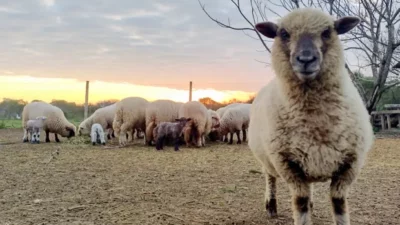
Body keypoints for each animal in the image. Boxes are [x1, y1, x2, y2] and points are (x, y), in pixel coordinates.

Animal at [248, 7, 376, 224]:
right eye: (283, 33)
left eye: (327, 31)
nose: (306, 59)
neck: (316, 124)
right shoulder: (288, 164)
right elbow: (300, 203)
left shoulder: (349, 165)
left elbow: (339, 204)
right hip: (268, 160)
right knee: (270, 178)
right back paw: (271, 206)